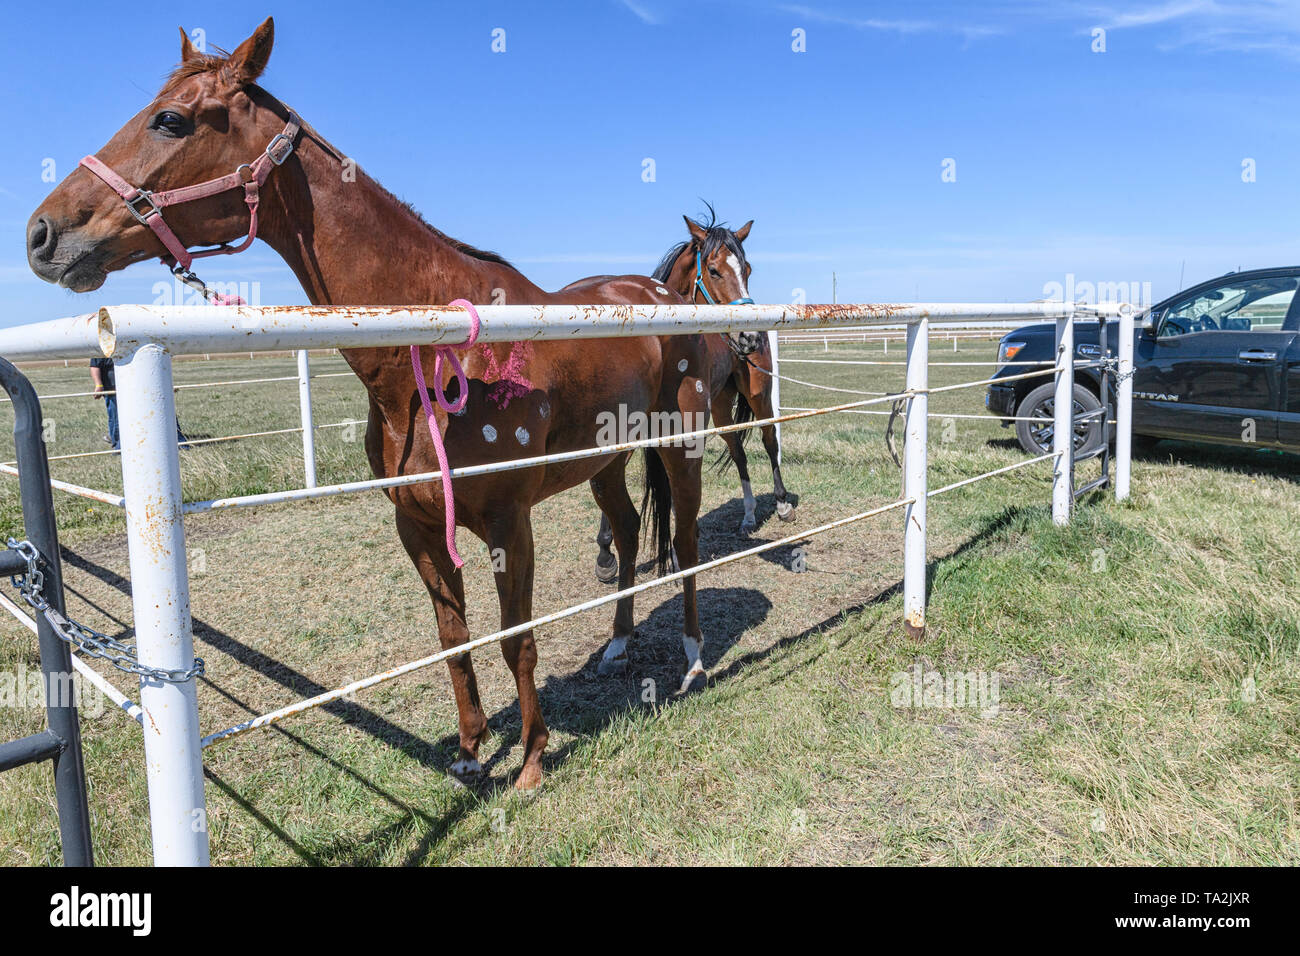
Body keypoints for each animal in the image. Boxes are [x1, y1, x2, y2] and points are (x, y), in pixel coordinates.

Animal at [25, 18, 716, 790]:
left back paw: (692, 660)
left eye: (170, 120)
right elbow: (453, 637)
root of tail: (662, 292)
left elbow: (517, 641)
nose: (43, 235)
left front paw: (533, 761)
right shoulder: (416, 527)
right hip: (606, 458)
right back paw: (619, 645)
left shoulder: (509, 524)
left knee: (686, 540)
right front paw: (470, 751)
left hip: (679, 442)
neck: (434, 353)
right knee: (626, 532)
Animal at [571, 211, 796, 582]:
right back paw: (748, 515)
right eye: (714, 270)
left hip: (758, 395)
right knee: (738, 451)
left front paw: (676, 552)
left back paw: (781, 503)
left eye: (747, 269)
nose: (748, 336)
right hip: (721, 406)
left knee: (769, 440)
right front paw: (605, 554)